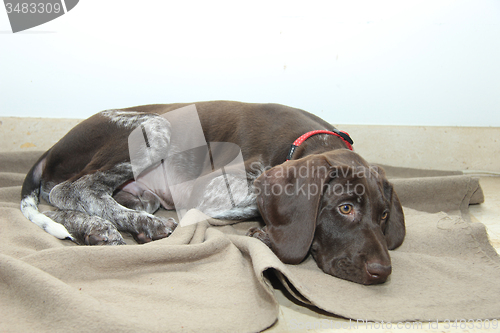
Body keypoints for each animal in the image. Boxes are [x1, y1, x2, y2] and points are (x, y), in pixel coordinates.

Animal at [21, 100, 404, 284]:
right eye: (344, 208)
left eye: (384, 215)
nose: (382, 272)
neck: (299, 142)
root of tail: (52, 149)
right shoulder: (209, 190)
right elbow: (253, 203)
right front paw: (267, 235)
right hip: (156, 126)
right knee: (71, 190)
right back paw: (133, 226)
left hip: (143, 190)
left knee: (60, 204)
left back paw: (99, 229)